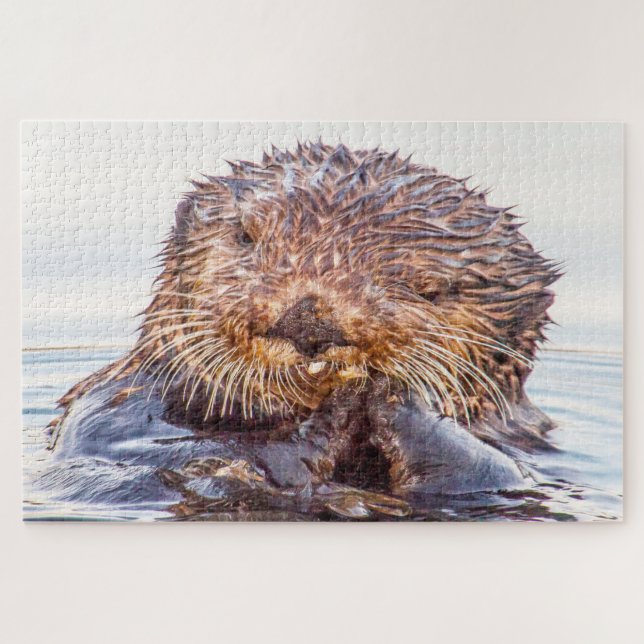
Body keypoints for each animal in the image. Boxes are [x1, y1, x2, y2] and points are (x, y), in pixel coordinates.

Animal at [45, 142, 560, 520]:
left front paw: (389, 396)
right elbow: (124, 443)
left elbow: (487, 470)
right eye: (246, 236)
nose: (309, 319)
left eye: (428, 289)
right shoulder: (114, 403)